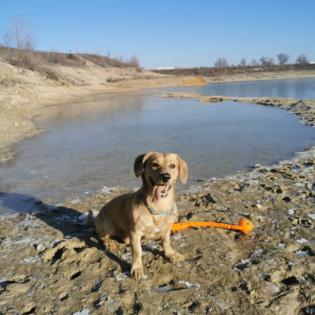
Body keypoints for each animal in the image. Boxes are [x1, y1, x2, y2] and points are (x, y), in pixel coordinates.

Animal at [95, 152, 189, 280]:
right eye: (154, 164)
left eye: (173, 166)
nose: (165, 176)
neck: (158, 207)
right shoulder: (135, 232)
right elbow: (137, 251)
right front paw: (137, 268)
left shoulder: (166, 229)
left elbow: (166, 242)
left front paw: (172, 254)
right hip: (107, 224)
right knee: (103, 237)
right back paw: (110, 243)